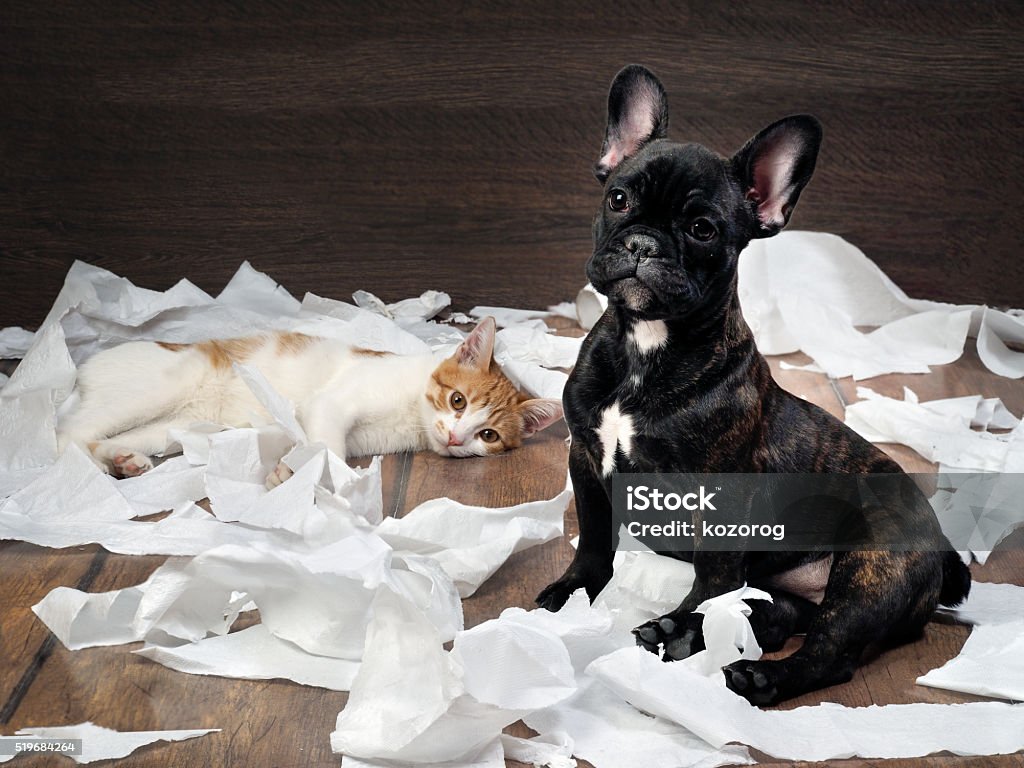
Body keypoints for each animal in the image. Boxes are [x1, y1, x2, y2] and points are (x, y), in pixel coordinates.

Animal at [55, 319, 561, 481]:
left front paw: (290, 469)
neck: (412, 412)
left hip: (172, 425)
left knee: (114, 437)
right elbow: (328, 448)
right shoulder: (331, 404)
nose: (456, 438)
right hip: (160, 387)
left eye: (488, 435)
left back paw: (124, 460)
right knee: (69, 433)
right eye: (457, 400)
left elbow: (316, 446)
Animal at [540, 66, 970, 708]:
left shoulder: (720, 495)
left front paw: (688, 623)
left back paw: (738, 663)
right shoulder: (586, 459)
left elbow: (713, 573)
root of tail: (939, 549)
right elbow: (593, 537)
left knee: (830, 650)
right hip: (793, 584)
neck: (647, 345)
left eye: (702, 230)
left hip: (870, 569)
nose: (643, 244)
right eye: (618, 199)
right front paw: (573, 593)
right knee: (778, 613)